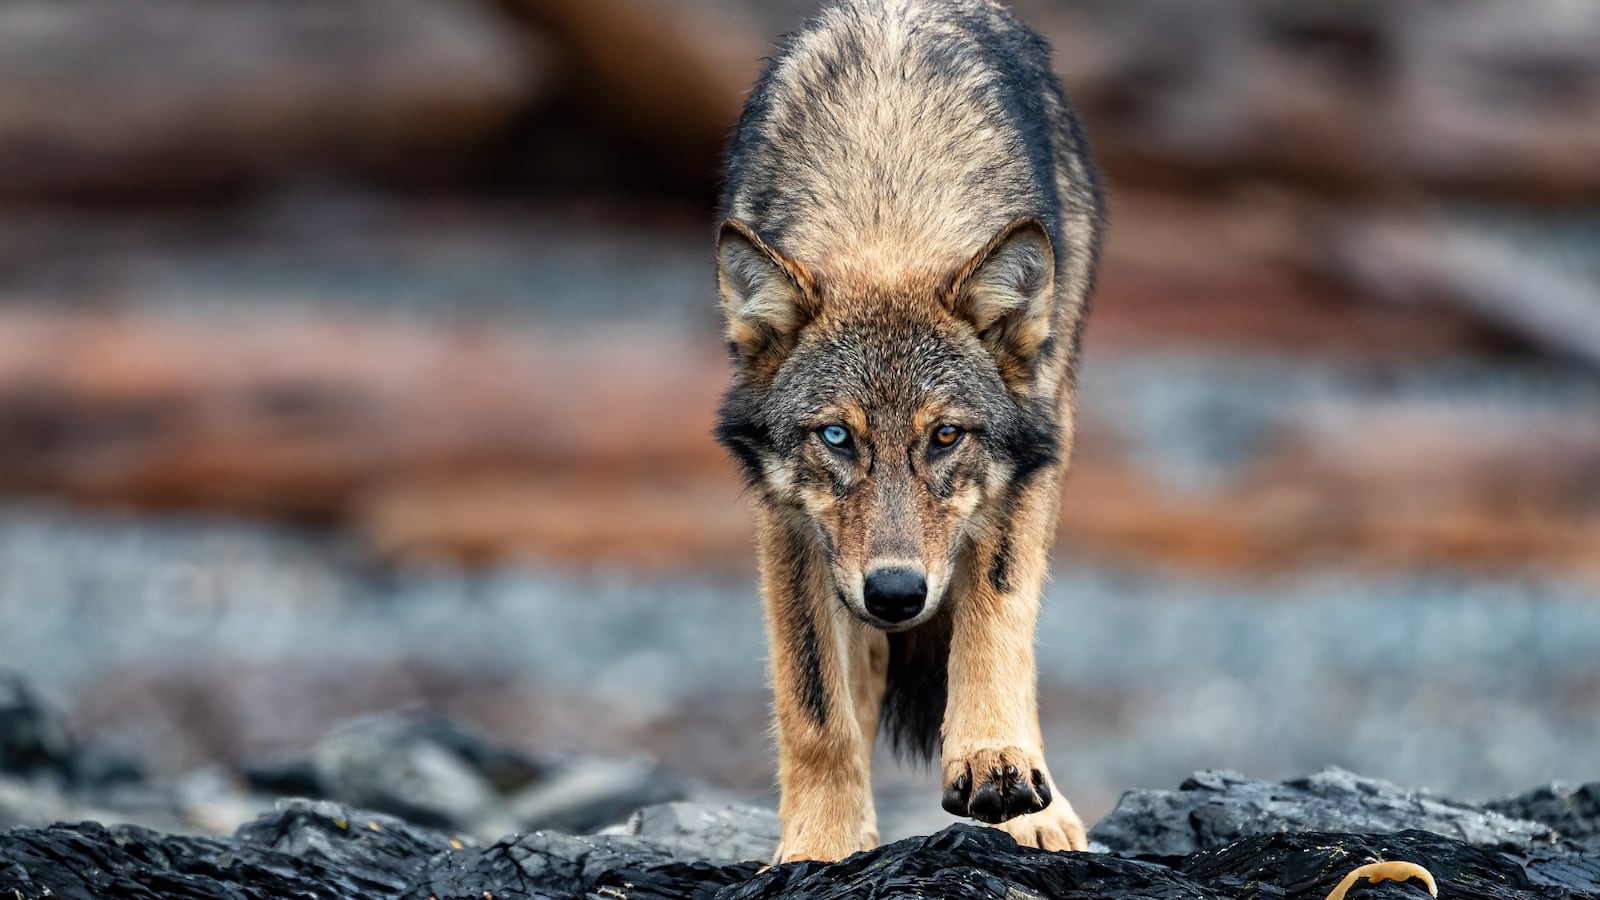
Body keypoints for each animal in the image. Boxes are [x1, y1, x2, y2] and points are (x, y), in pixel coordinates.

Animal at [713, 0, 1105, 863]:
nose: (896, 593)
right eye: (836, 438)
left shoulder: (1029, 461)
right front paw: (824, 843)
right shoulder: (788, 515)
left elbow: (996, 616)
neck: (887, 208)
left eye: (946, 437)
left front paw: (1001, 770)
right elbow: (816, 704)